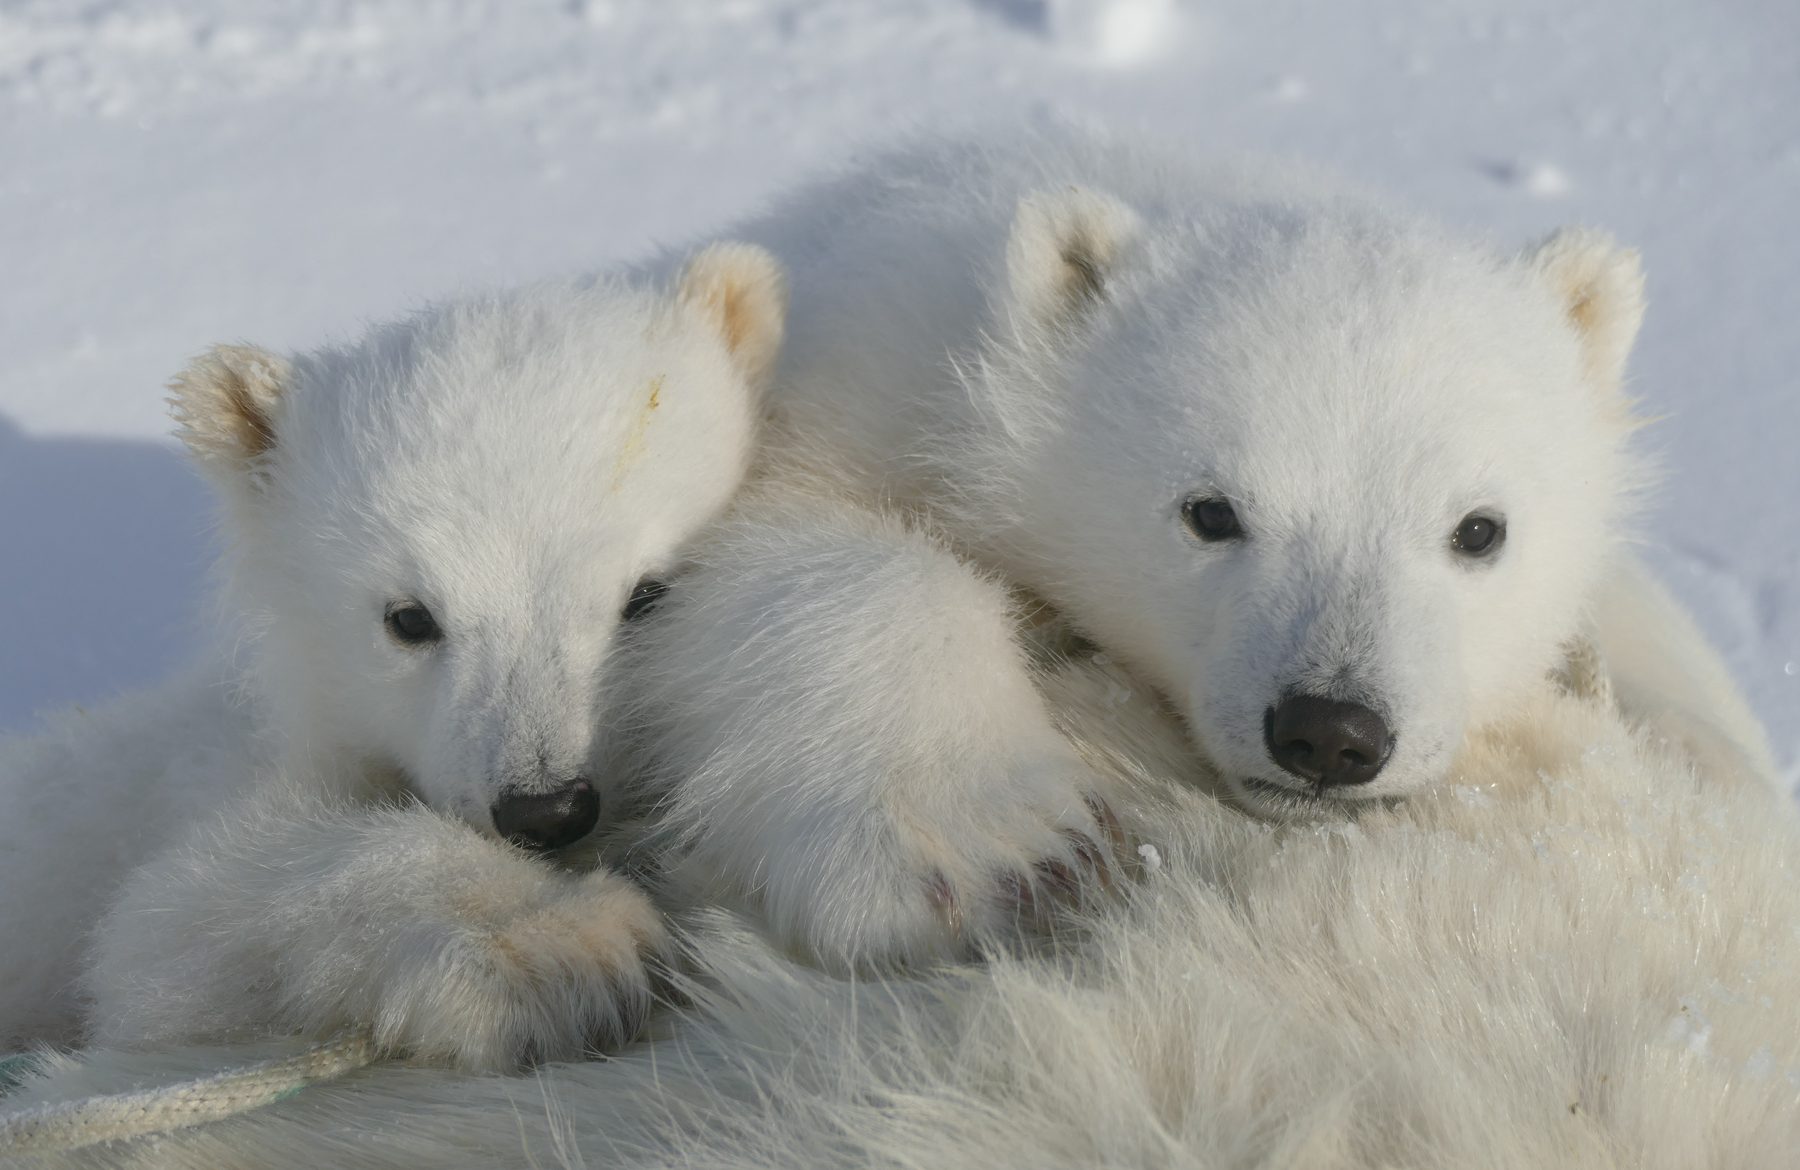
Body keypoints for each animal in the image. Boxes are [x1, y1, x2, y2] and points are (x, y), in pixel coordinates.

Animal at [616, 126, 1776, 974]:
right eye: (1211, 512)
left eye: (1479, 530)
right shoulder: (850, 380)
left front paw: (1702, 753)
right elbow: (782, 550)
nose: (1330, 732)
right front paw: (998, 849)